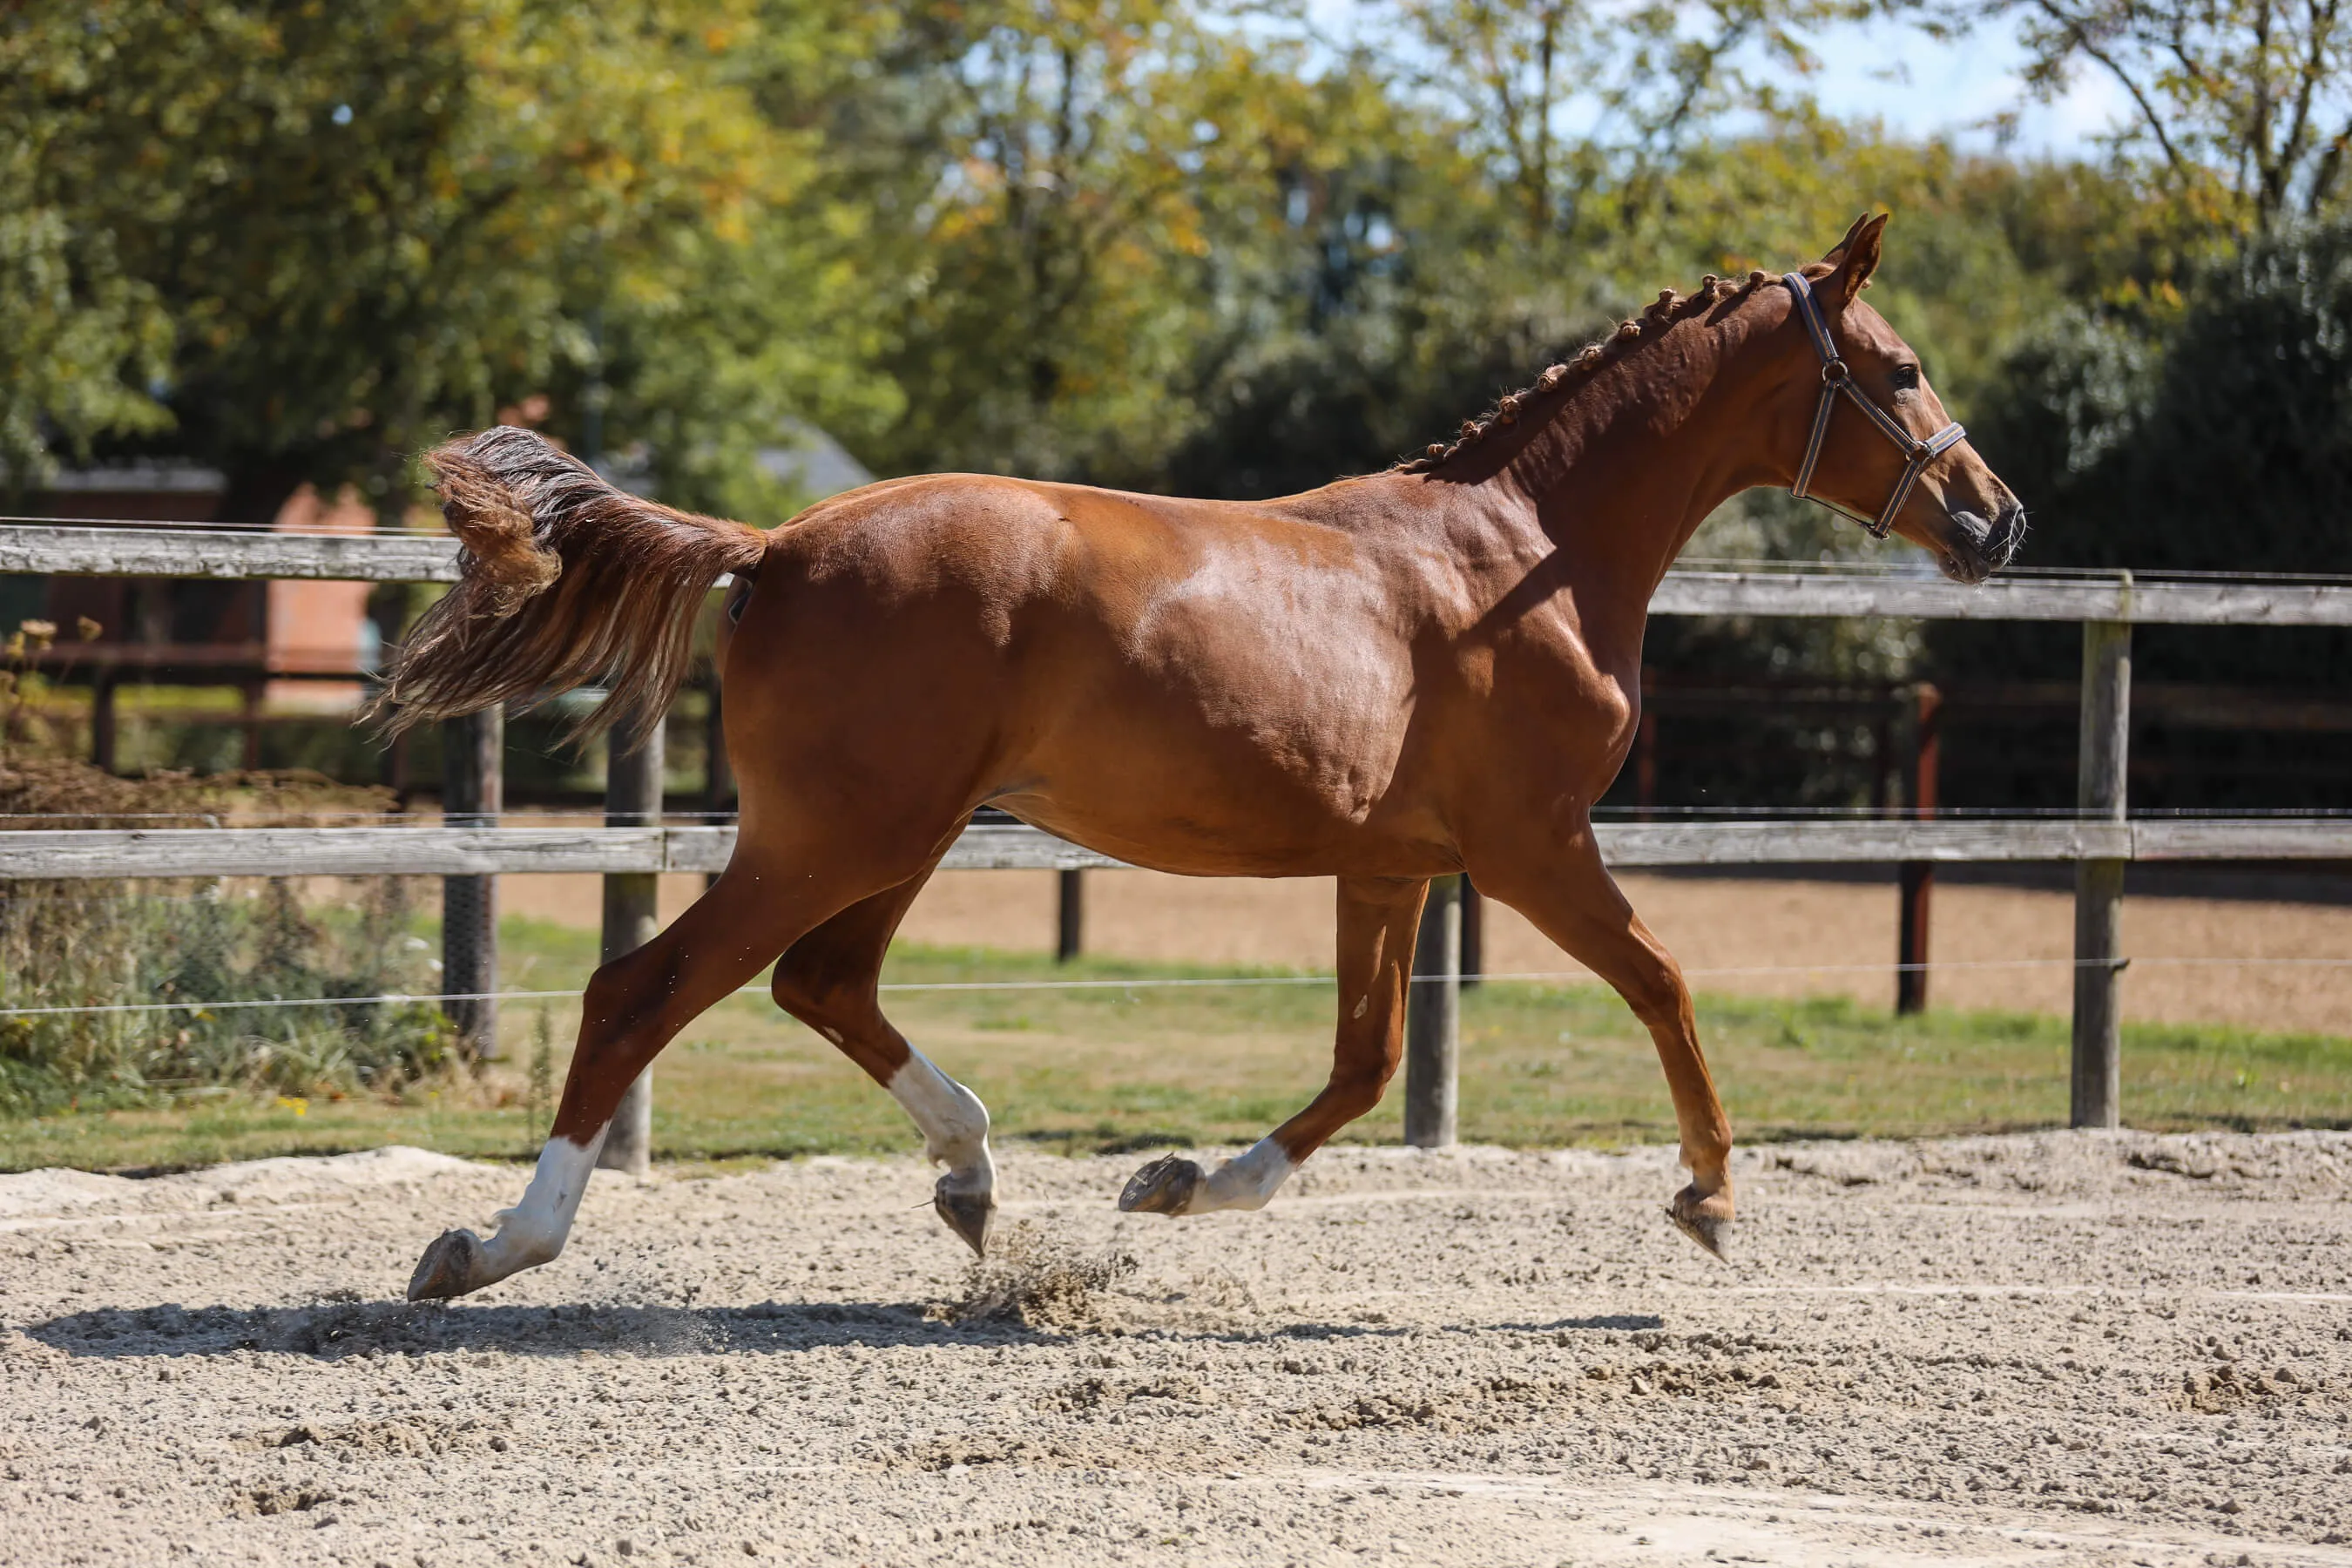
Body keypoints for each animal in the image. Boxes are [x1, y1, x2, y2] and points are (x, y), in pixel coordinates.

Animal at [390, 213, 2024, 1302]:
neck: (1527, 560)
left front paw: (1178, 1185)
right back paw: (492, 1246)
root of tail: (778, 543)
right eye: (1898, 367)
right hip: (838, 836)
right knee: (646, 992)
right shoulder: (1535, 847)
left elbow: (1367, 1065)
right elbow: (1665, 984)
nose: (1998, 521)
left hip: (893, 837)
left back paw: (977, 1184)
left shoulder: (1396, 866)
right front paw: (1711, 1196)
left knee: (822, 985)